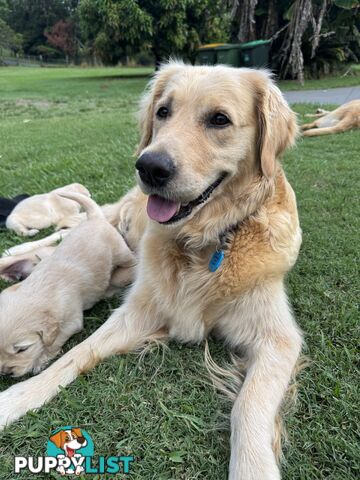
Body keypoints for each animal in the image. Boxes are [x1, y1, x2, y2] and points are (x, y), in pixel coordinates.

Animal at [0, 190, 135, 376]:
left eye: (22, 349)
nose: (6, 373)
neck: (37, 290)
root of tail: (94, 217)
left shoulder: (72, 321)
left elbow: (55, 341)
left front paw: (41, 360)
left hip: (120, 251)